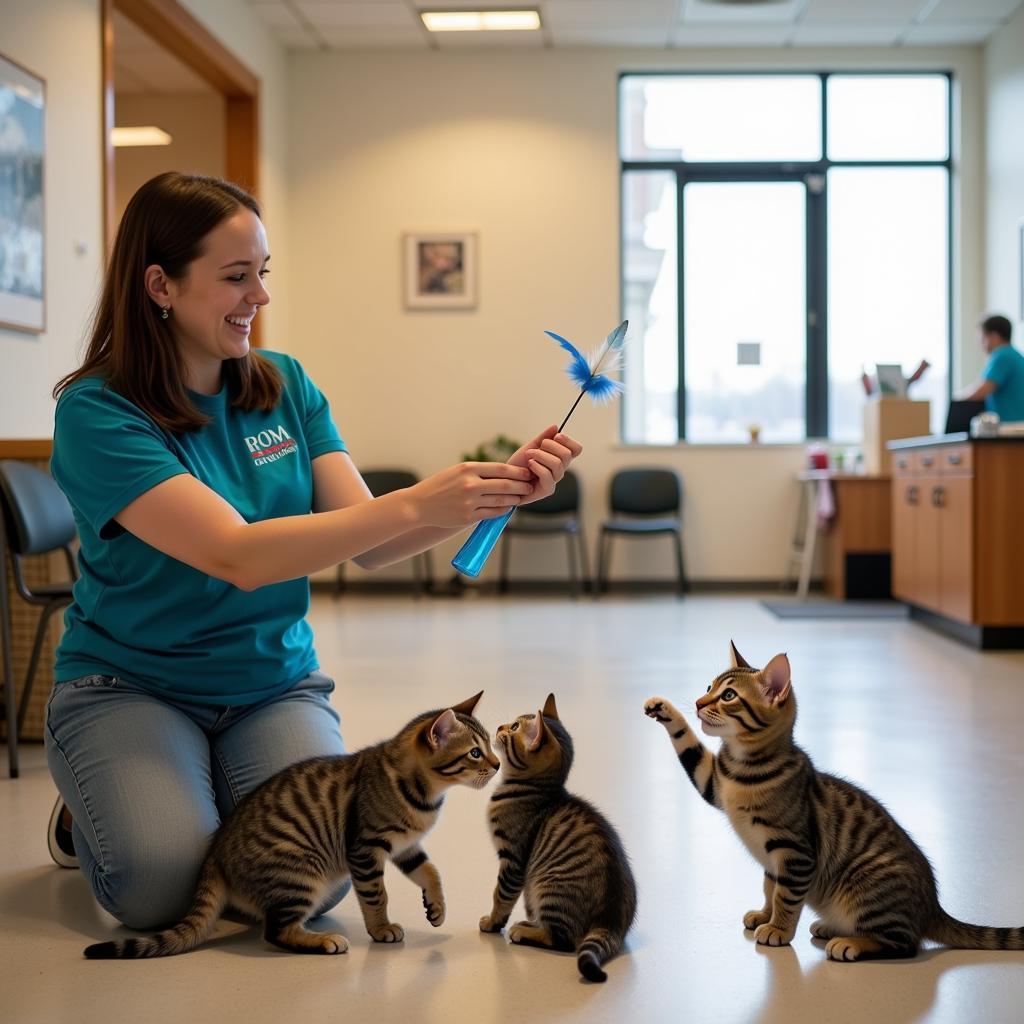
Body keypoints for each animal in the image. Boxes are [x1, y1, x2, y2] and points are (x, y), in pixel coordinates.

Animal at [84, 692, 499, 962]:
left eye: (490, 746)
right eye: (475, 752)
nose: (497, 765)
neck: (423, 795)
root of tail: (215, 853)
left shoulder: (406, 846)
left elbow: (431, 871)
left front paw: (437, 907)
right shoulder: (366, 848)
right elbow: (376, 896)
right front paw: (381, 929)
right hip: (300, 873)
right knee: (275, 932)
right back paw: (323, 942)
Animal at [477, 692, 634, 978]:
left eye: (514, 727)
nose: (500, 727)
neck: (535, 789)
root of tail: (611, 922)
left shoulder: (512, 861)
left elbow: (500, 895)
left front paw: (493, 922)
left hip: (550, 889)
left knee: (563, 940)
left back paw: (523, 931)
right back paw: (530, 923)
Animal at [643, 643, 1019, 962]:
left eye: (729, 695)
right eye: (709, 686)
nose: (697, 702)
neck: (741, 767)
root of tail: (933, 907)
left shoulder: (796, 853)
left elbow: (786, 896)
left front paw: (778, 929)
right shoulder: (714, 784)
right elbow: (769, 887)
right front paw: (664, 709)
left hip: (867, 888)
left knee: (906, 943)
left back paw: (851, 943)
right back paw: (831, 927)